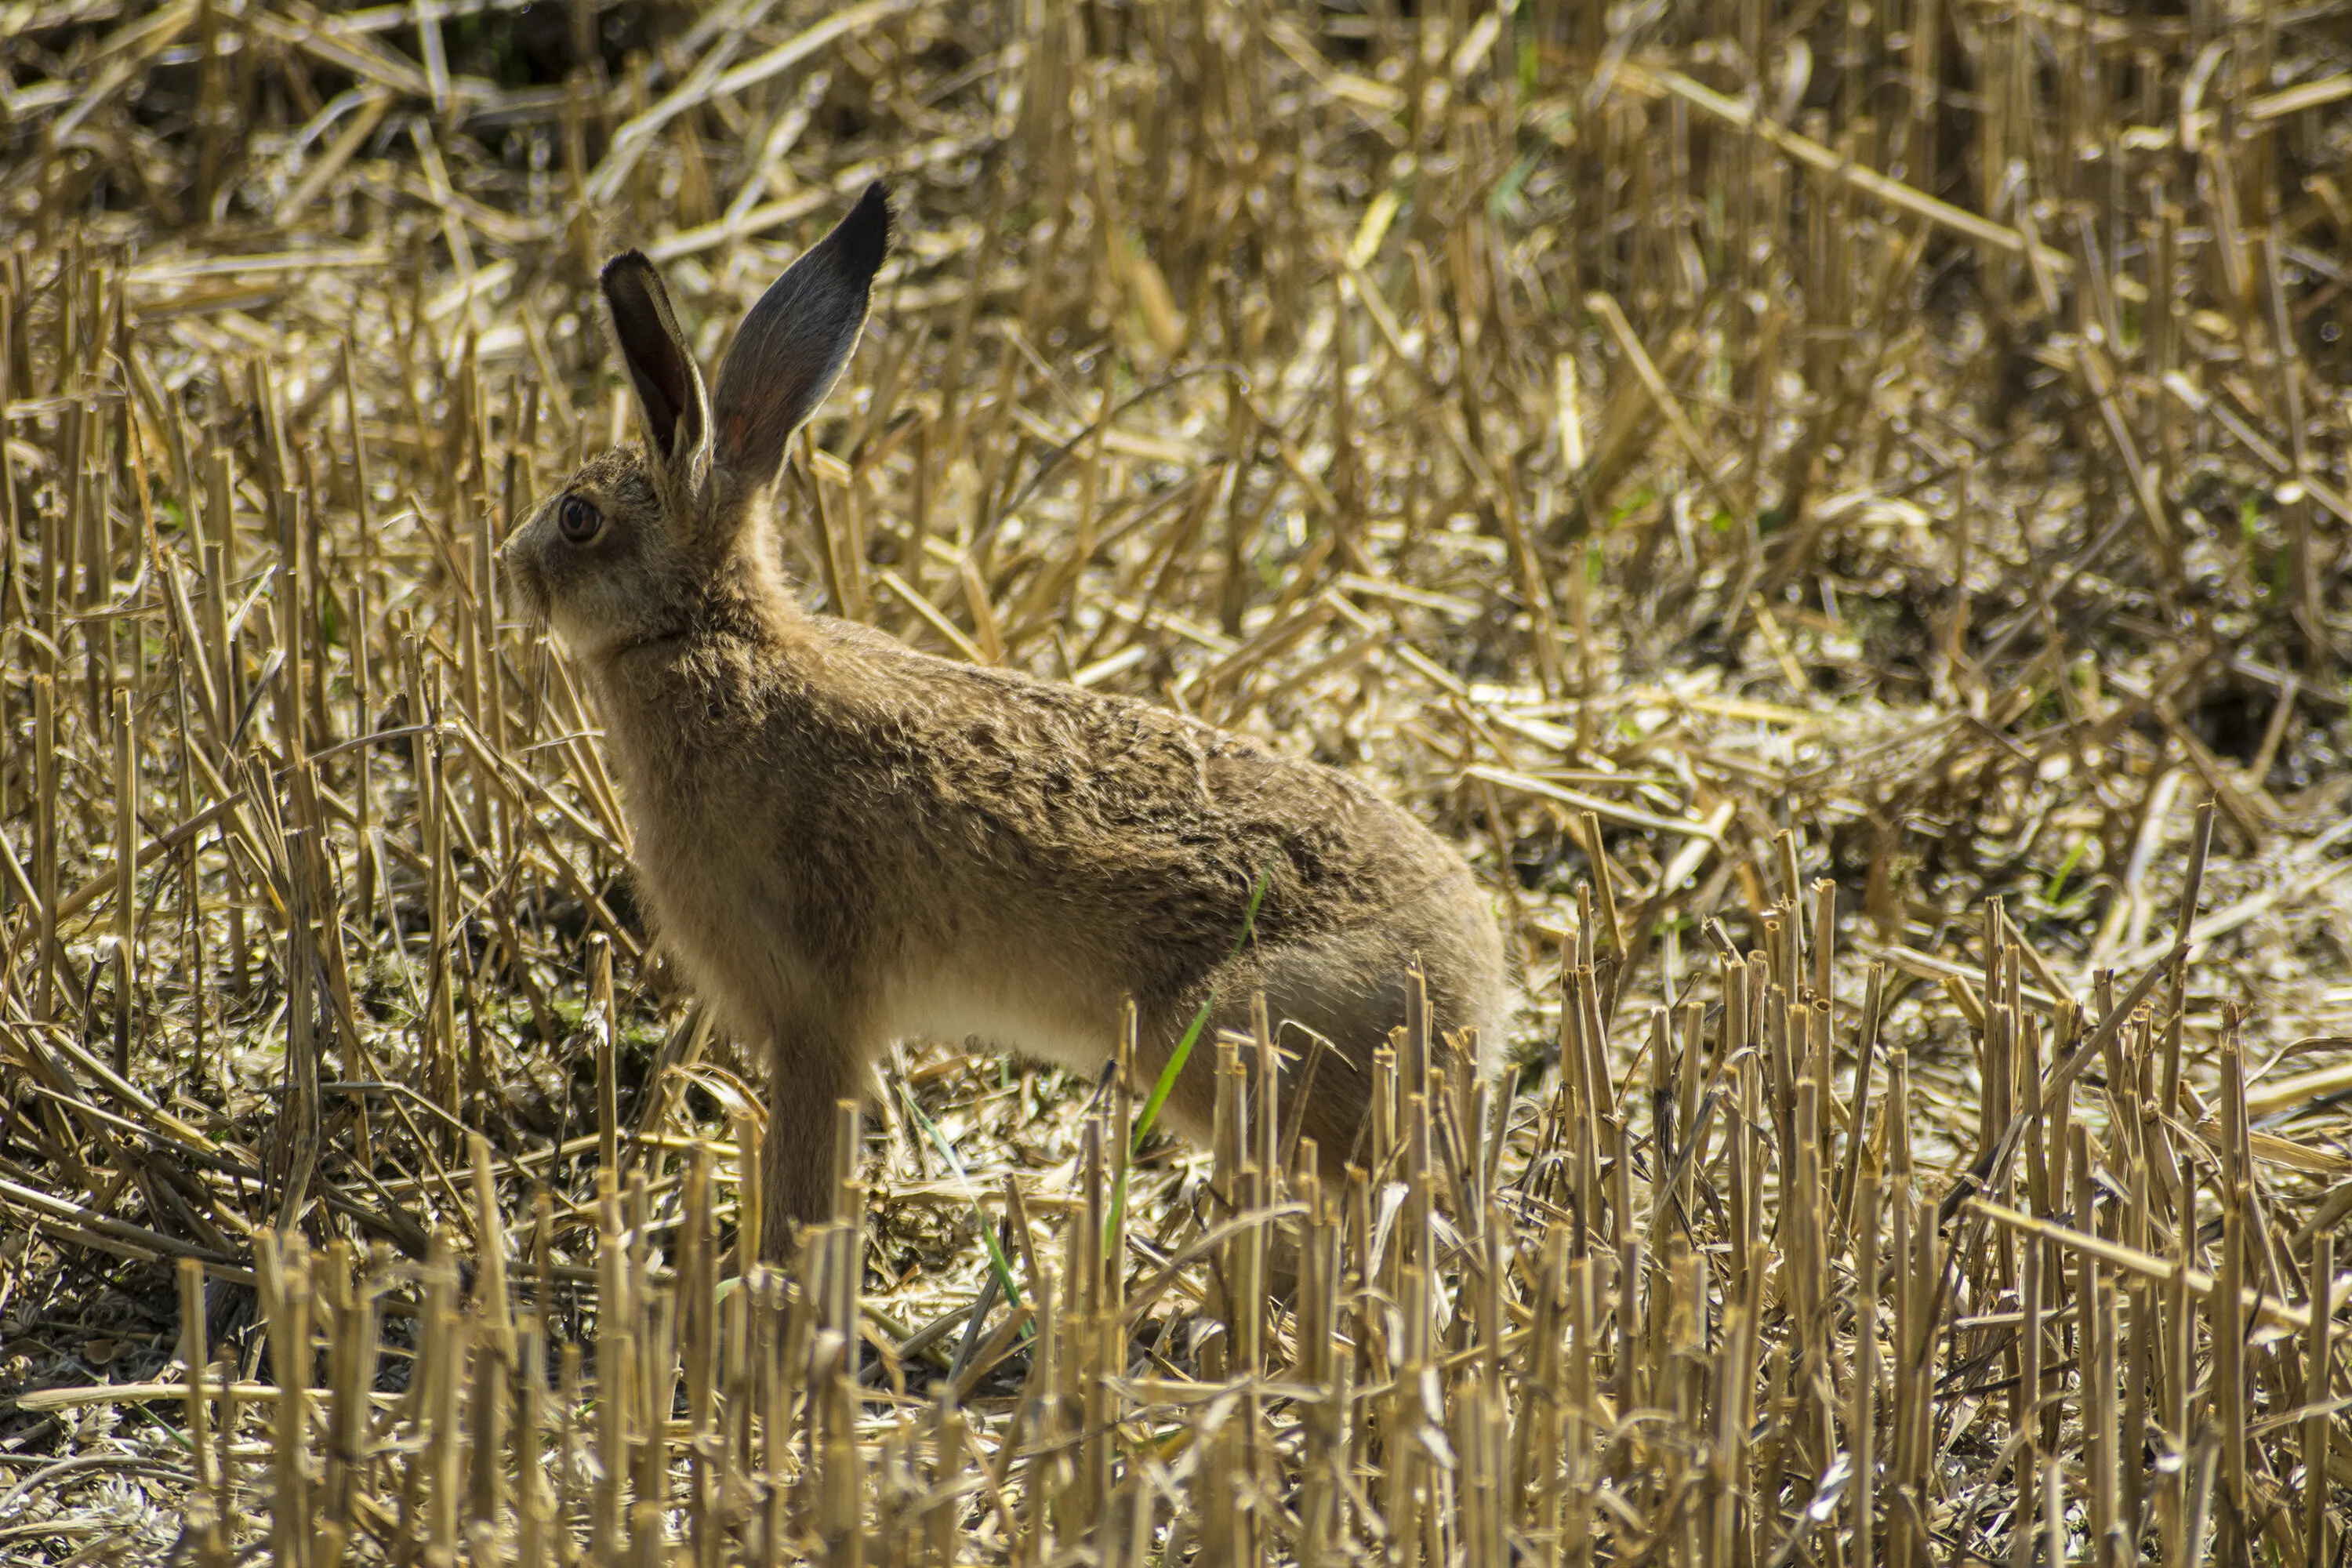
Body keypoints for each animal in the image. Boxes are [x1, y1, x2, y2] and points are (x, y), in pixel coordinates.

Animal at [502, 183, 1509, 1255]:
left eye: (578, 517)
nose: (508, 560)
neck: (704, 630)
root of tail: (1479, 998)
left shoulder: (811, 1012)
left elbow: (809, 1168)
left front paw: (779, 1277)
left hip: (1233, 1049)